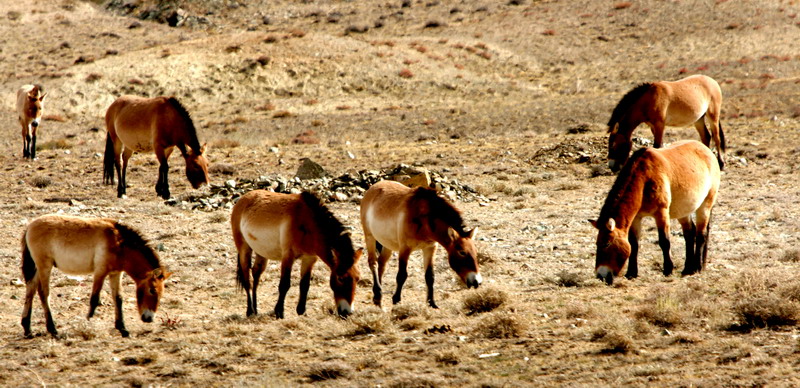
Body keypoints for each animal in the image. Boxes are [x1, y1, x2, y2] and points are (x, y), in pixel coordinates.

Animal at [19, 214, 170, 338]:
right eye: (152, 290)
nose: (149, 318)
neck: (119, 242)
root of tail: (30, 227)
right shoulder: (100, 272)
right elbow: (94, 298)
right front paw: (87, 323)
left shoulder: (115, 274)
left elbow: (118, 298)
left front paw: (122, 329)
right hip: (44, 267)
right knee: (44, 293)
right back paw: (53, 330)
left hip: (37, 269)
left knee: (30, 291)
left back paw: (27, 329)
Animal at [228, 189, 360, 318]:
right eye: (340, 278)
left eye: (357, 279)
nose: (347, 312)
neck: (307, 222)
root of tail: (242, 199)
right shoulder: (288, 256)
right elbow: (284, 284)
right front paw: (279, 312)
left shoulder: (309, 259)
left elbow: (305, 285)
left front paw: (301, 311)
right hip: (244, 249)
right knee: (247, 278)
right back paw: (250, 311)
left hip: (262, 252)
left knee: (256, 274)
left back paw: (255, 309)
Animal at [362, 180, 482, 310]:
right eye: (462, 252)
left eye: (475, 252)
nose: (477, 282)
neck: (424, 220)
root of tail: (373, 188)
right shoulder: (405, 249)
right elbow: (402, 275)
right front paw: (396, 300)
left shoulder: (430, 248)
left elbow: (430, 276)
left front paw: (432, 303)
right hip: (370, 237)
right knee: (373, 262)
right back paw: (378, 294)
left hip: (387, 244)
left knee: (381, 264)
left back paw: (377, 299)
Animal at [588, 139, 720, 284]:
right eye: (597, 243)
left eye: (606, 244)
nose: (601, 276)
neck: (644, 178)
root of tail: (707, 150)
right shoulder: (636, 218)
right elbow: (634, 244)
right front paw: (631, 273)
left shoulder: (661, 213)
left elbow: (664, 241)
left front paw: (668, 270)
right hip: (684, 211)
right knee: (689, 234)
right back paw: (687, 269)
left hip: (705, 205)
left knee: (701, 234)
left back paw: (698, 267)